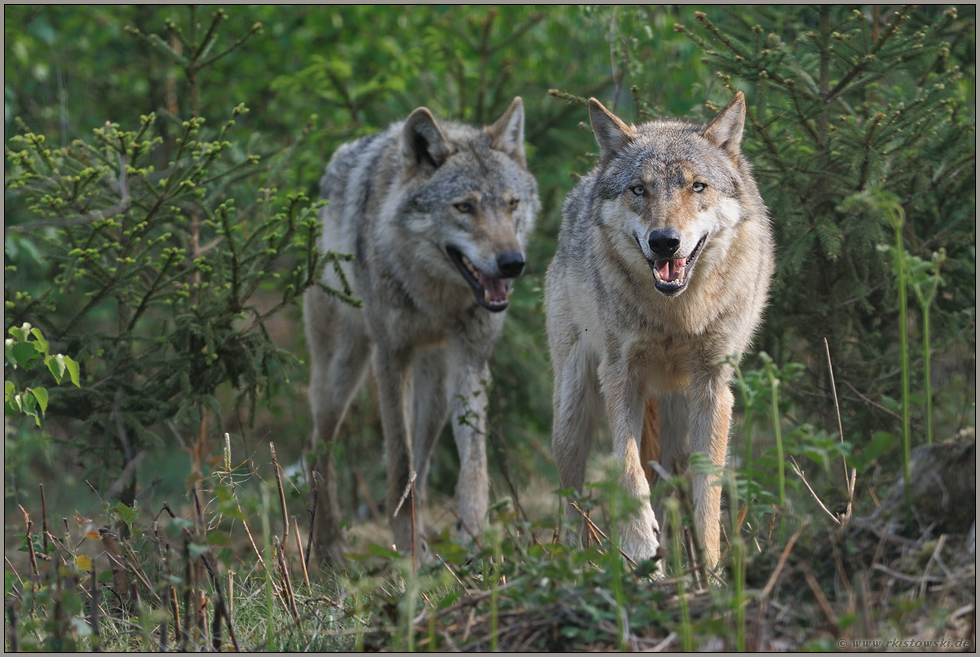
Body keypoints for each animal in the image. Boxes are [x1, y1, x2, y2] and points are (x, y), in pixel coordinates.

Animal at [304, 98, 539, 564]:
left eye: (511, 204)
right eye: (464, 207)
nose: (512, 263)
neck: (437, 299)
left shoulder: (471, 359)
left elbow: (473, 465)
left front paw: (473, 538)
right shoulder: (391, 357)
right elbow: (398, 459)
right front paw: (408, 548)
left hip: (434, 393)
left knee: (424, 459)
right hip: (340, 377)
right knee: (320, 449)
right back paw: (328, 546)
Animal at [544, 92, 774, 568]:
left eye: (697, 186)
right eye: (639, 189)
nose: (664, 241)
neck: (676, 314)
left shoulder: (714, 386)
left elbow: (708, 494)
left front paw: (712, 569)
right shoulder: (619, 378)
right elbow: (630, 476)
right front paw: (642, 557)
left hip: (677, 417)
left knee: (672, 484)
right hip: (573, 410)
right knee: (573, 501)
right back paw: (574, 563)